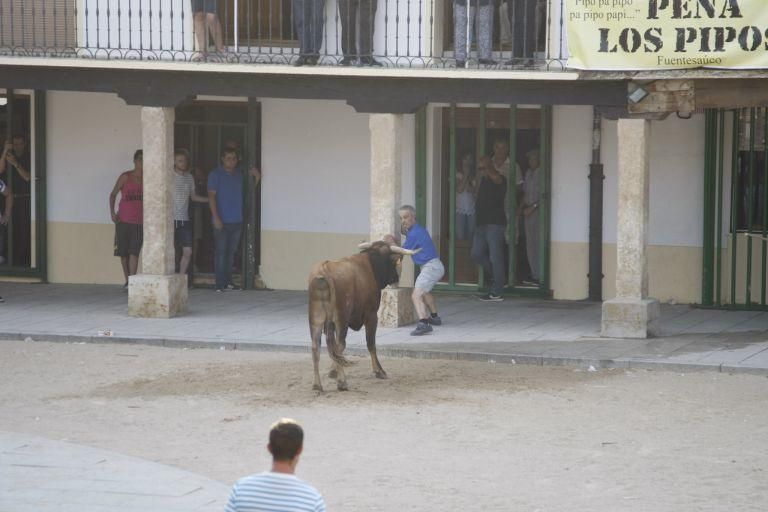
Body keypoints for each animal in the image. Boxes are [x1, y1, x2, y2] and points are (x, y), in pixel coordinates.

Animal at [306, 242, 416, 390]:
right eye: (392, 262)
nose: (396, 277)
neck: (371, 264)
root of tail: (323, 270)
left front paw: (333, 371)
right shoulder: (371, 315)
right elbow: (371, 343)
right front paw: (379, 371)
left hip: (315, 320)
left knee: (316, 347)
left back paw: (317, 385)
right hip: (341, 319)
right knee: (339, 345)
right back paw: (342, 382)